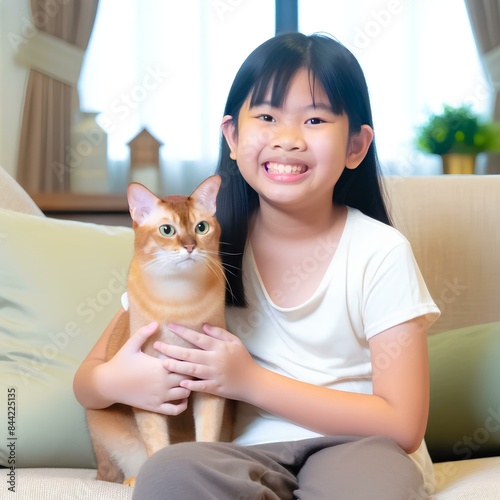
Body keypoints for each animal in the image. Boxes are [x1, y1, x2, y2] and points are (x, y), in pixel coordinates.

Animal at [87, 175, 231, 484]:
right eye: (167, 230)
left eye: (201, 227)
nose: (190, 246)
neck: (178, 301)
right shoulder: (148, 389)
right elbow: (156, 441)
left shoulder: (210, 382)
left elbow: (208, 432)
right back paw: (131, 479)